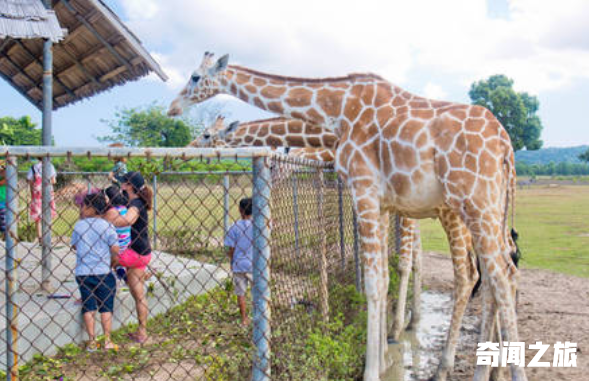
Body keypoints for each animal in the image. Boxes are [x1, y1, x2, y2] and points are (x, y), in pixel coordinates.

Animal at [169, 52, 520, 380]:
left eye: (195, 76)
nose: (173, 107)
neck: (336, 113)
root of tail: (506, 146)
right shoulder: (385, 204)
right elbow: (389, 274)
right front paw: (387, 352)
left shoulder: (366, 192)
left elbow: (380, 279)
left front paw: (374, 366)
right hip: (490, 209)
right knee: (501, 272)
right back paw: (491, 368)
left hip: (471, 205)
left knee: (485, 279)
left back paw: (456, 369)